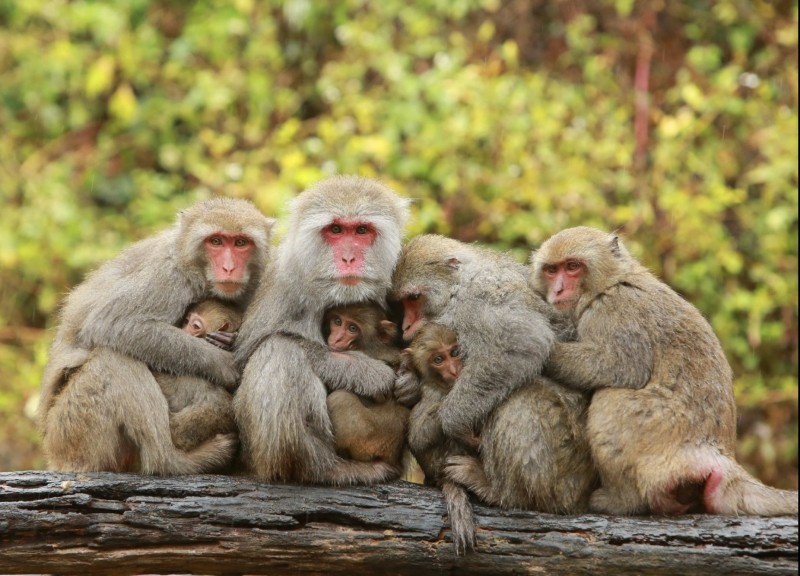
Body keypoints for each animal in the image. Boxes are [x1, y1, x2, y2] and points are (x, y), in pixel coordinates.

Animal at [37, 198, 276, 472]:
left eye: (240, 243)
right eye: (216, 241)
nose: (229, 268)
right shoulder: (169, 276)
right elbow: (114, 322)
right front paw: (223, 364)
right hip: (70, 431)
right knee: (113, 361)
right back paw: (172, 460)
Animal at [324, 302, 410, 468]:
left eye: (352, 328)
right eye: (337, 321)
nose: (337, 339)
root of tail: (390, 455)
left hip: (366, 440)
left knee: (340, 398)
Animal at [390, 234, 560, 446]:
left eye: (414, 297)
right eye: (402, 302)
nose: (406, 326)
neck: (457, 287)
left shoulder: (476, 299)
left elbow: (520, 340)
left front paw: (453, 421)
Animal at [528, 226, 796, 516]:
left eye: (572, 267)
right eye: (551, 270)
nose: (558, 290)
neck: (612, 282)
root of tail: (718, 452)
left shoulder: (616, 309)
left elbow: (618, 366)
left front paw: (545, 352)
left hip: (660, 427)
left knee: (611, 398)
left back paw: (622, 500)